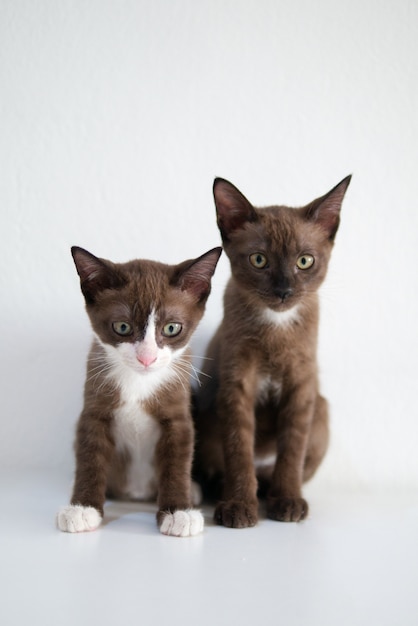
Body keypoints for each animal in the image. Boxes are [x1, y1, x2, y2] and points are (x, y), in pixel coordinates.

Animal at [58, 244, 225, 536]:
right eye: (122, 327)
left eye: (171, 328)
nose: (147, 357)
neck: (138, 382)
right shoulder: (94, 409)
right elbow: (90, 456)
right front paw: (83, 508)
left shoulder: (178, 414)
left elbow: (177, 461)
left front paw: (178, 512)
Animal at [194, 176, 352, 528]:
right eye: (259, 260)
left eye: (304, 261)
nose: (284, 291)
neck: (275, 327)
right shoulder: (237, 385)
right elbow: (239, 449)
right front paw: (239, 506)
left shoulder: (301, 386)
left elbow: (292, 450)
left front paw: (287, 501)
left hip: (321, 410)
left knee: (276, 470)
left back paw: (269, 493)